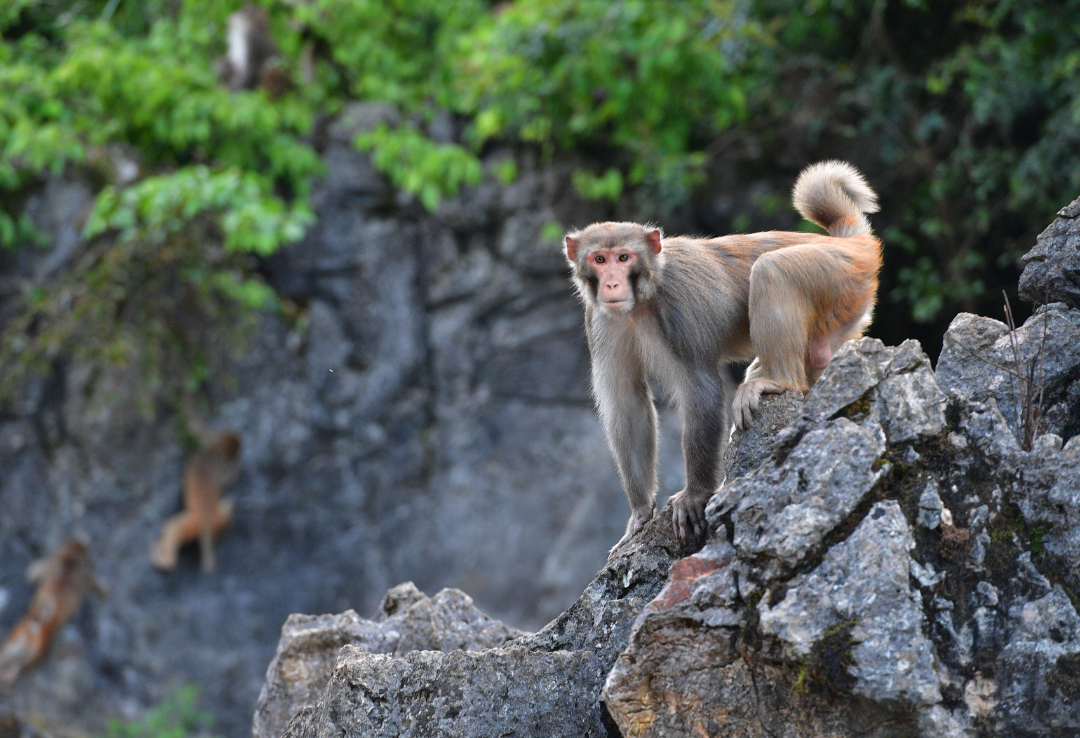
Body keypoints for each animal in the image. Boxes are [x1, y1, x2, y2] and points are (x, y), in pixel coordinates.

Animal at [0, 535, 105, 687]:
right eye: (86, 552)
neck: (69, 561)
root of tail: (37, 623)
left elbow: (32, 571)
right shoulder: (86, 578)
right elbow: (95, 585)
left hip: (13, 643)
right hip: (34, 654)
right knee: (17, 669)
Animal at [149, 430, 237, 574]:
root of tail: (207, 520)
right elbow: (227, 480)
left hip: (192, 523)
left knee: (173, 527)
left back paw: (166, 561)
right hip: (218, 519)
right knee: (227, 505)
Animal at [561, 163, 881, 553]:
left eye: (624, 257)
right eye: (599, 259)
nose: (611, 284)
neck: (645, 296)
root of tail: (847, 240)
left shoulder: (680, 305)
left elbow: (701, 390)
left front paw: (695, 495)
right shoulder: (601, 321)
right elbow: (626, 404)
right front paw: (639, 512)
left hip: (839, 272)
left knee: (772, 270)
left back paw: (777, 379)